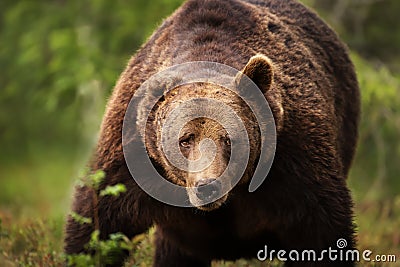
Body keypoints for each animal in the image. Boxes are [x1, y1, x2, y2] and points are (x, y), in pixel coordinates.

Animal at [65, 0, 360, 266]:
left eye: (229, 138)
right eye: (185, 140)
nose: (207, 186)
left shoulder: (291, 152)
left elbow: (318, 225)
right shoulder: (134, 150)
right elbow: (99, 216)